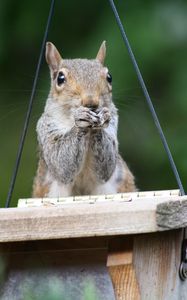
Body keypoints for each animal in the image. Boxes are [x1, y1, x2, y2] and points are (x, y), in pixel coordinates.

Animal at [32, 41, 136, 198]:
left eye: (109, 77)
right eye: (60, 78)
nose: (90, 102)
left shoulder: (113, 125)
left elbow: (106, 167)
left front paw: (102, 118)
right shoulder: (46, 128)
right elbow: (60, 162)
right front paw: (80, 121)